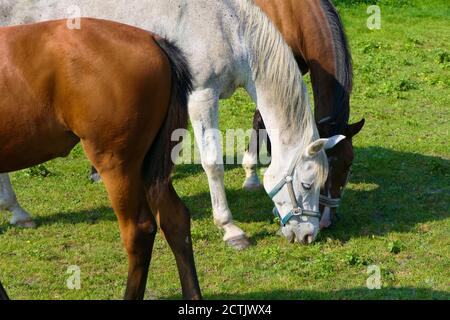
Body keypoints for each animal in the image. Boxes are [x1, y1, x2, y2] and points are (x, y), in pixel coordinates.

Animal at [0, 0, 344, 248]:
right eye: (307, 184)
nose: (309, 234)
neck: (228, 26)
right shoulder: (201, 97)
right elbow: (213, 164)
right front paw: (230, 228)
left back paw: (17, 212)